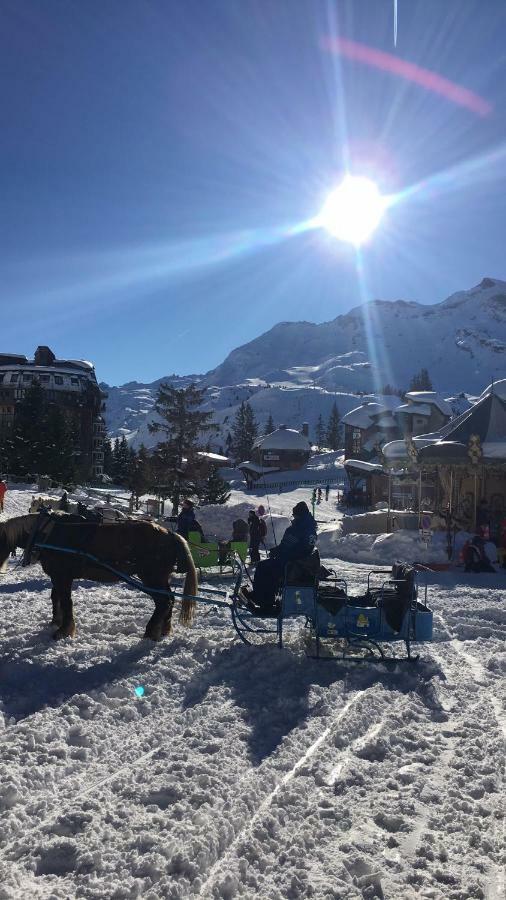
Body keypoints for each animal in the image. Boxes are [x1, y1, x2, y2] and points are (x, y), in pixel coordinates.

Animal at [0, 512, 198, 640]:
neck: (48, 532)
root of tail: (171, 534)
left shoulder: (63, 577)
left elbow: (66, 601)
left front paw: (64, 631)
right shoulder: (56, 576)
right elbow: (55, 598)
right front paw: (56, 621)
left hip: (151, 577)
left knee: (163, 602)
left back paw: (150, 633)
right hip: (159, 578)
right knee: (170, 599)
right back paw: (163, 630)